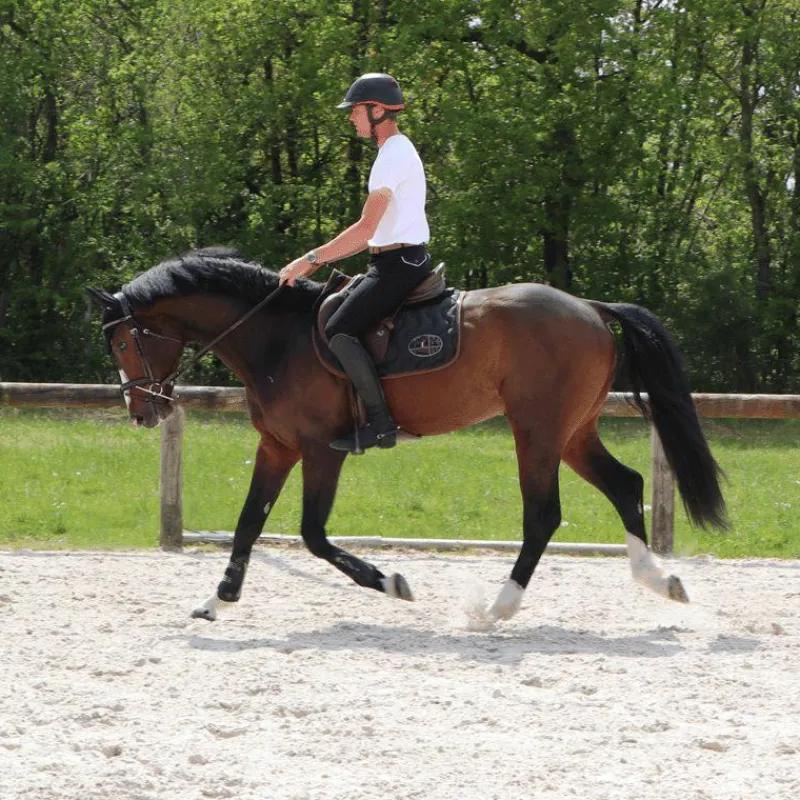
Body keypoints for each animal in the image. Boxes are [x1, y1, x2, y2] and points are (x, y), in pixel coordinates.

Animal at [87, 247, 726, 623]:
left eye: (122, 341)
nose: (140, 411)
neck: (275, 338)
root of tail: (590, 307)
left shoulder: (320, 450)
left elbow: (312, 535)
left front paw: (390, 581)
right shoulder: (278, 447)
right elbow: (247, 525)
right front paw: (216, 600)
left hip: (537, 431)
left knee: (544, 514)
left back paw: (497, 606)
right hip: (572, 433)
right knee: (626, 485)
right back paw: (660, 580)